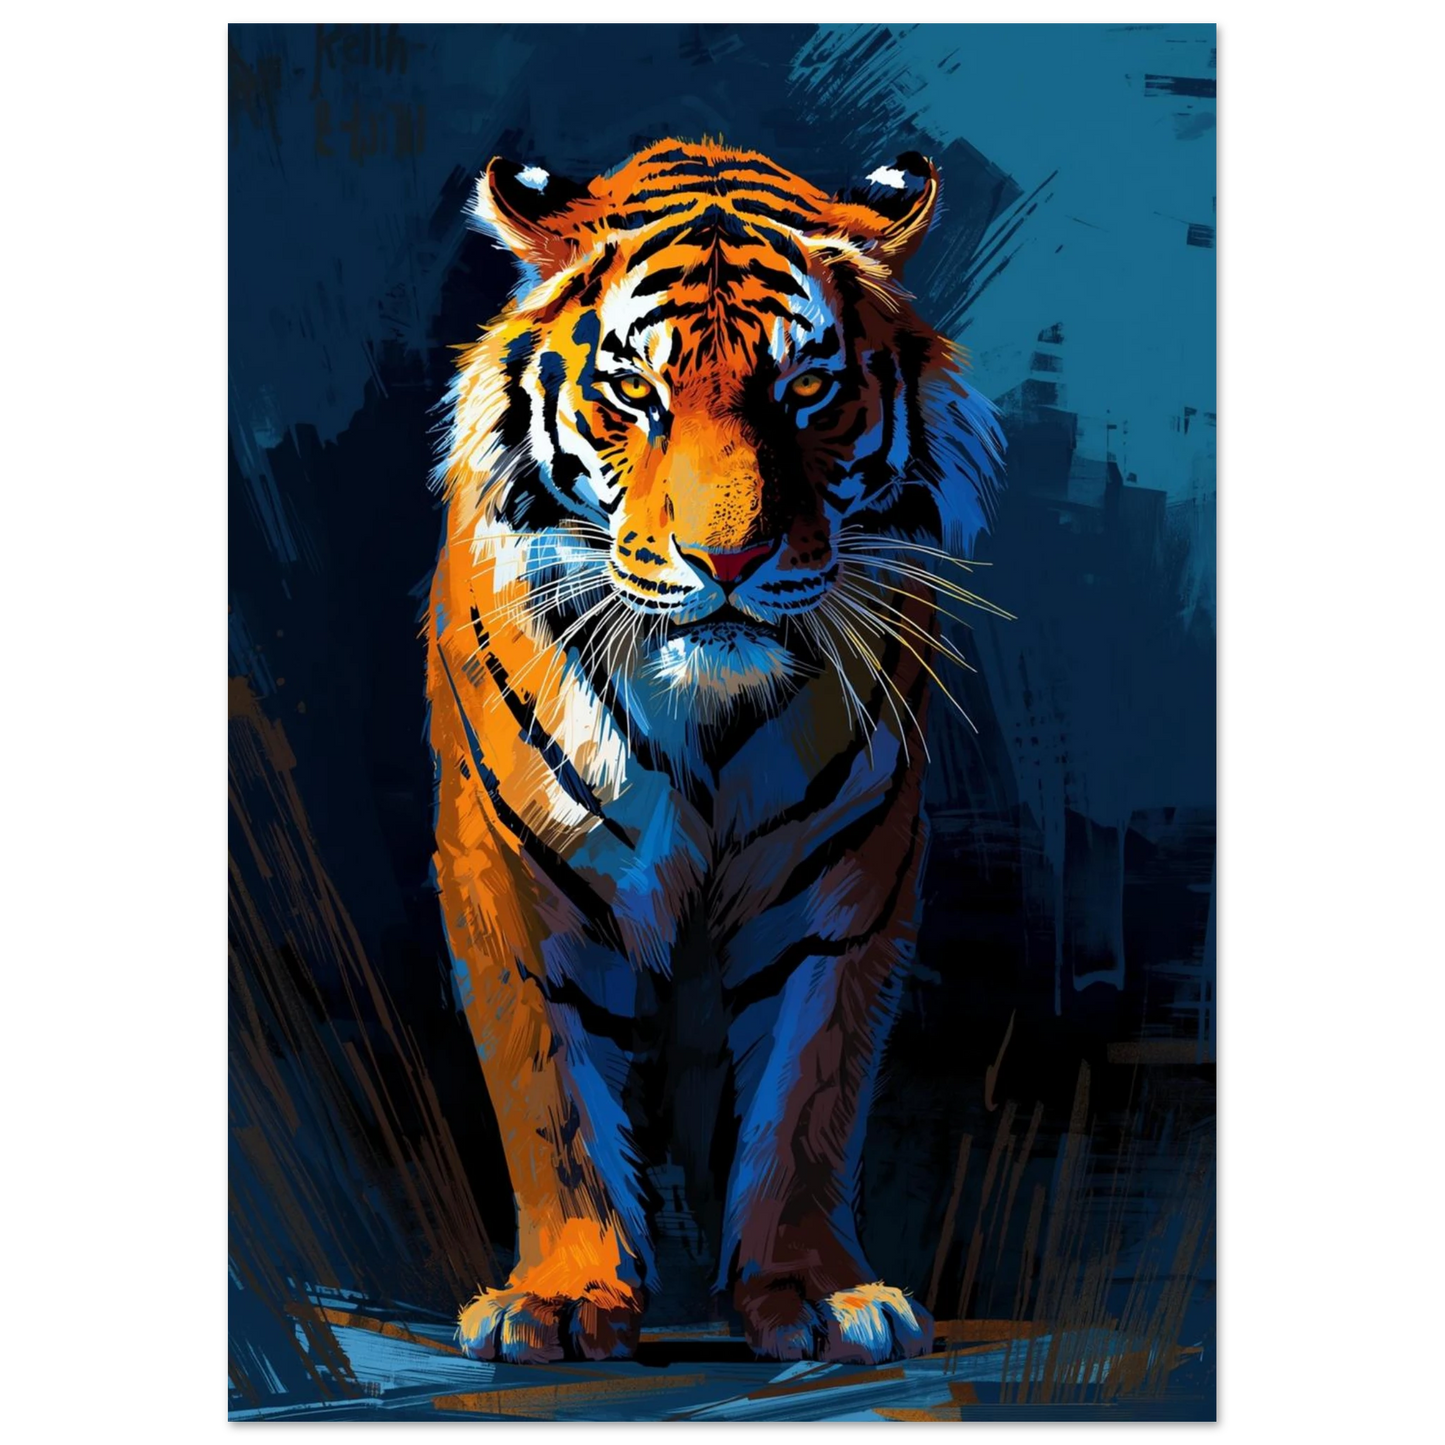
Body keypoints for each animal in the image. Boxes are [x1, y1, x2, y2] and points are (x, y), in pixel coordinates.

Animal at [426, 138, 1005, 1367]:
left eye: (804, 391)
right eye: (632, 392)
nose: (727, 558)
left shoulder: (844, 878)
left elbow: (806, 1096)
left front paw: (816, 1294)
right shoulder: (509, 864)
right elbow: (553, 1099)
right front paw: (559, 1301)